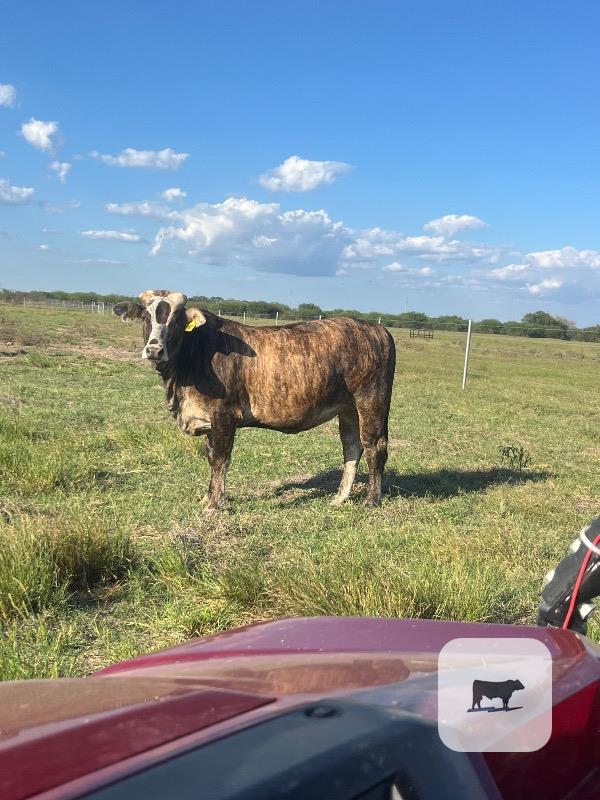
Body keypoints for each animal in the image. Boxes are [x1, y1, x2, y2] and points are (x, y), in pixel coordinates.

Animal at [113, 290, 395, 510]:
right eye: (146, 317)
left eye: (175, 320)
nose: (154, 350)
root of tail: (377, 328)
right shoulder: (209, 420)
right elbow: (210, 456)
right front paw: (208, 498)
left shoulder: (224, 416)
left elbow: (220, 459)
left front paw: (215, 504)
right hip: (348, 408)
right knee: (352, 446)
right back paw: (340, 497)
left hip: (371, 399)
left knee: (374, 445)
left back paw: (372, 499)